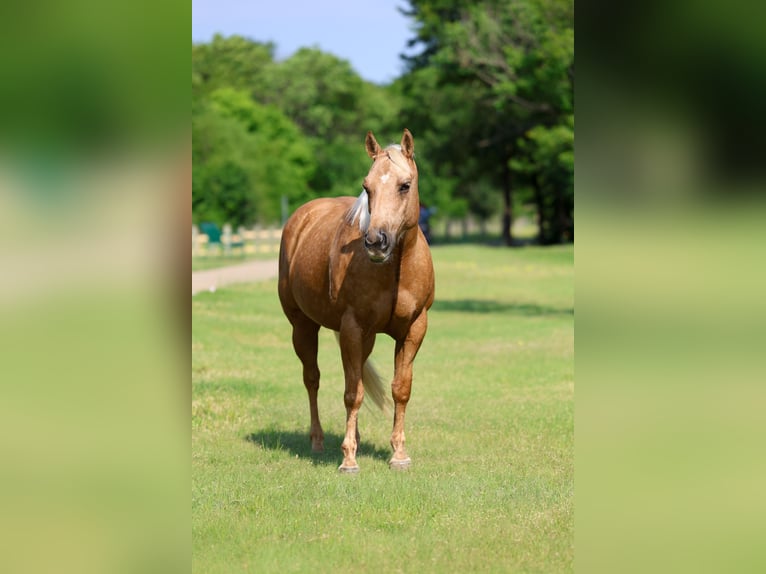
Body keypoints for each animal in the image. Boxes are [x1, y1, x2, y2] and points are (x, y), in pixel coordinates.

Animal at [278, 129, 435, 473]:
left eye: (405, 185)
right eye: (367, 186)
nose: (376, 242)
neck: (395, 270)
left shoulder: (414, 329)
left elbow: (400, 389)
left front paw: (399, 454)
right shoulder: (352, 327)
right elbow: (352, 393)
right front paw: (348, 459)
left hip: (367, 338)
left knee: (356, 373)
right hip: (303, 326)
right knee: (313, 379)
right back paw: (318, 441)